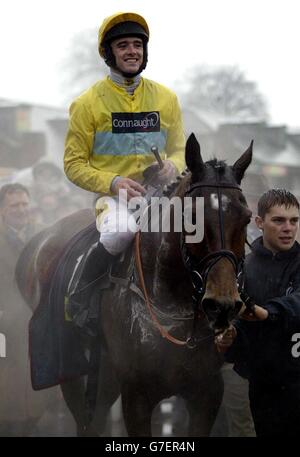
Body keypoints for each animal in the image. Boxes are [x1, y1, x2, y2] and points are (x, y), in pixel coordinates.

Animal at [15, 134, 252, 436]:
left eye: (246, 217)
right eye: (192, 218)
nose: (222, 304)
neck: (172, 302)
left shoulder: (207, 391)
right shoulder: (136, 393)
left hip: (104, 372)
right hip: (70, 365)